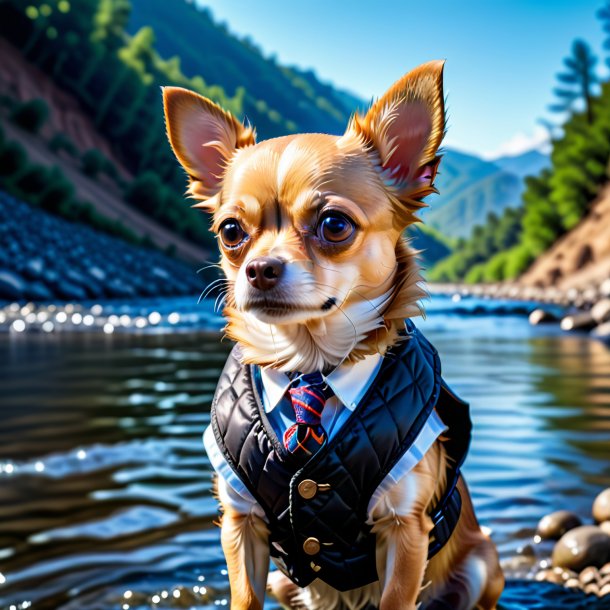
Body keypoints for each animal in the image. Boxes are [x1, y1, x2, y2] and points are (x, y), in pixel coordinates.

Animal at [163, 60, 504, 608]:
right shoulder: (241, 522)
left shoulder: (405, 529)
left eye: (334, 224)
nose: (258, 268)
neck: (311, 363)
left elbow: (395, 598)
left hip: (480, 566)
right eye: (231, 232)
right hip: (283, 579)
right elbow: (243, 597)